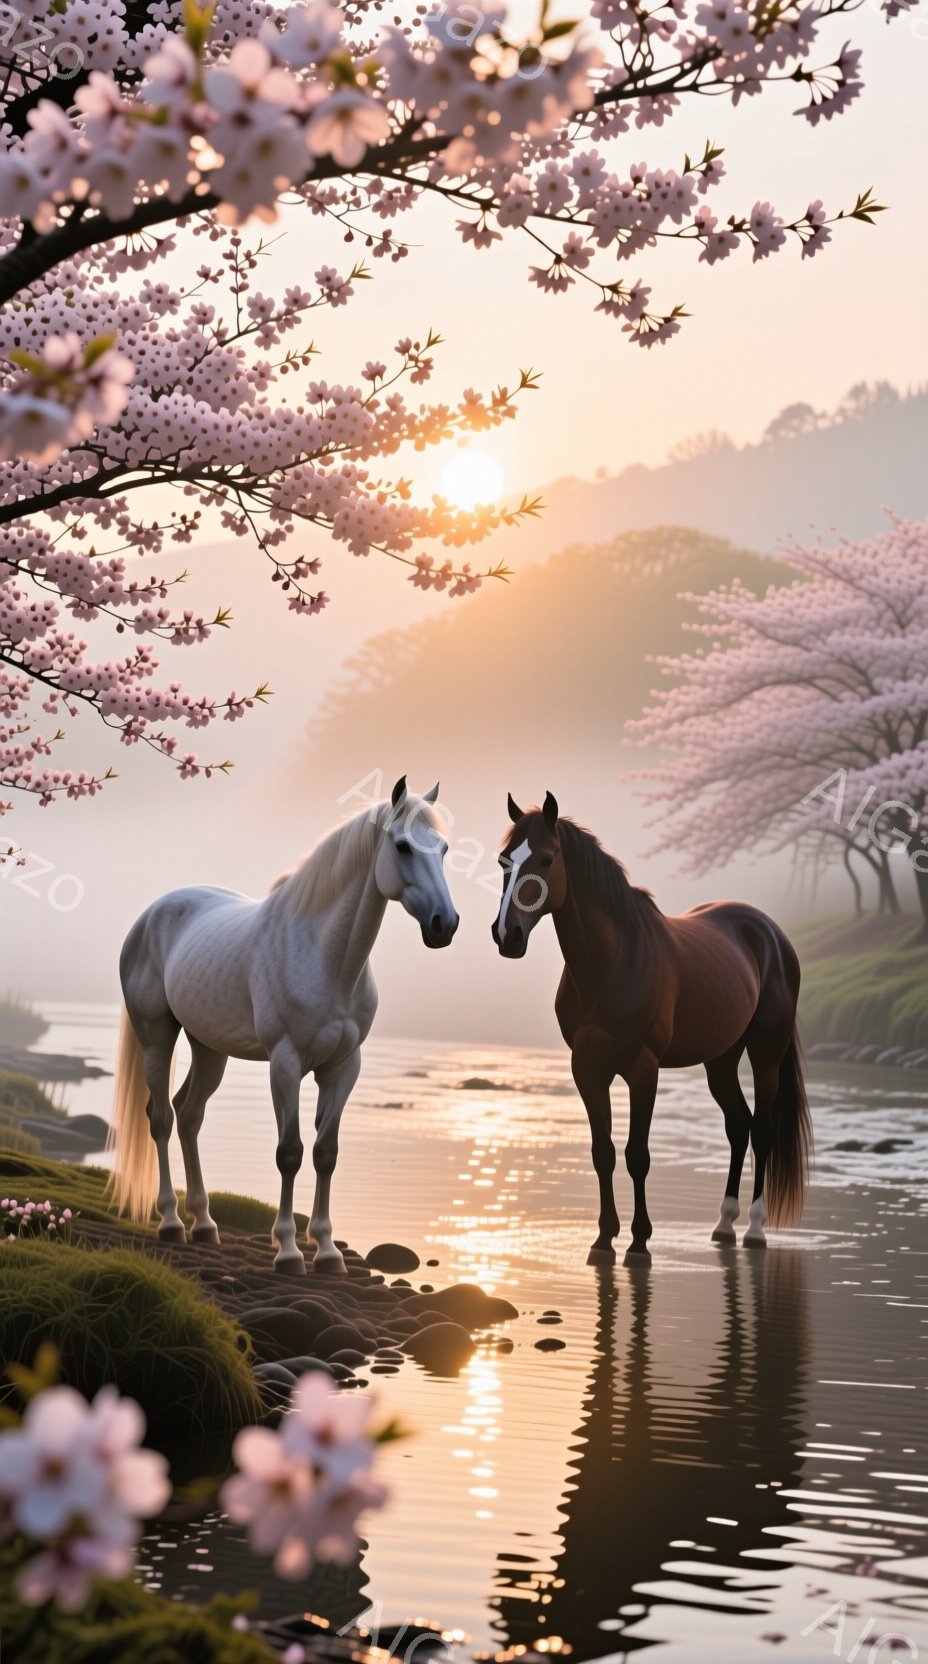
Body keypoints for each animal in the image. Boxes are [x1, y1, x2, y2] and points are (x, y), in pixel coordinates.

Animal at [109, 777, 458, 1274]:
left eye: (444, 848)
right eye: (403, 846)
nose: (444, 924)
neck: (325, 958)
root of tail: (150, 916)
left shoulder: (343, 1067)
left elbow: (326, 1153)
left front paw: (328, 1251)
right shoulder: (286, 1063)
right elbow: (289, 1152)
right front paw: (290, 1251)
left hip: (209, 1047)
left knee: (189, 1115)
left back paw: (205, 1224)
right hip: (156, 1036)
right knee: (160, 1118)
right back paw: (172, 1223)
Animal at [492, 792, 812, 1261]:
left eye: (547, 859)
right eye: (504, 861)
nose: (507, 935)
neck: (612, 964)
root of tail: (771, 934)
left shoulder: (644, 1070)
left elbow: (637, 1155)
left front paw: (640, 1241)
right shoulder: (587, 1068)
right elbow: (603, 1152)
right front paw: (604, 1238)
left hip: (765, 1053)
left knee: (762, 1130)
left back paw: (754, 1229)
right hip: (721, 1059)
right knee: (738, 1126)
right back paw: (724, 1224)